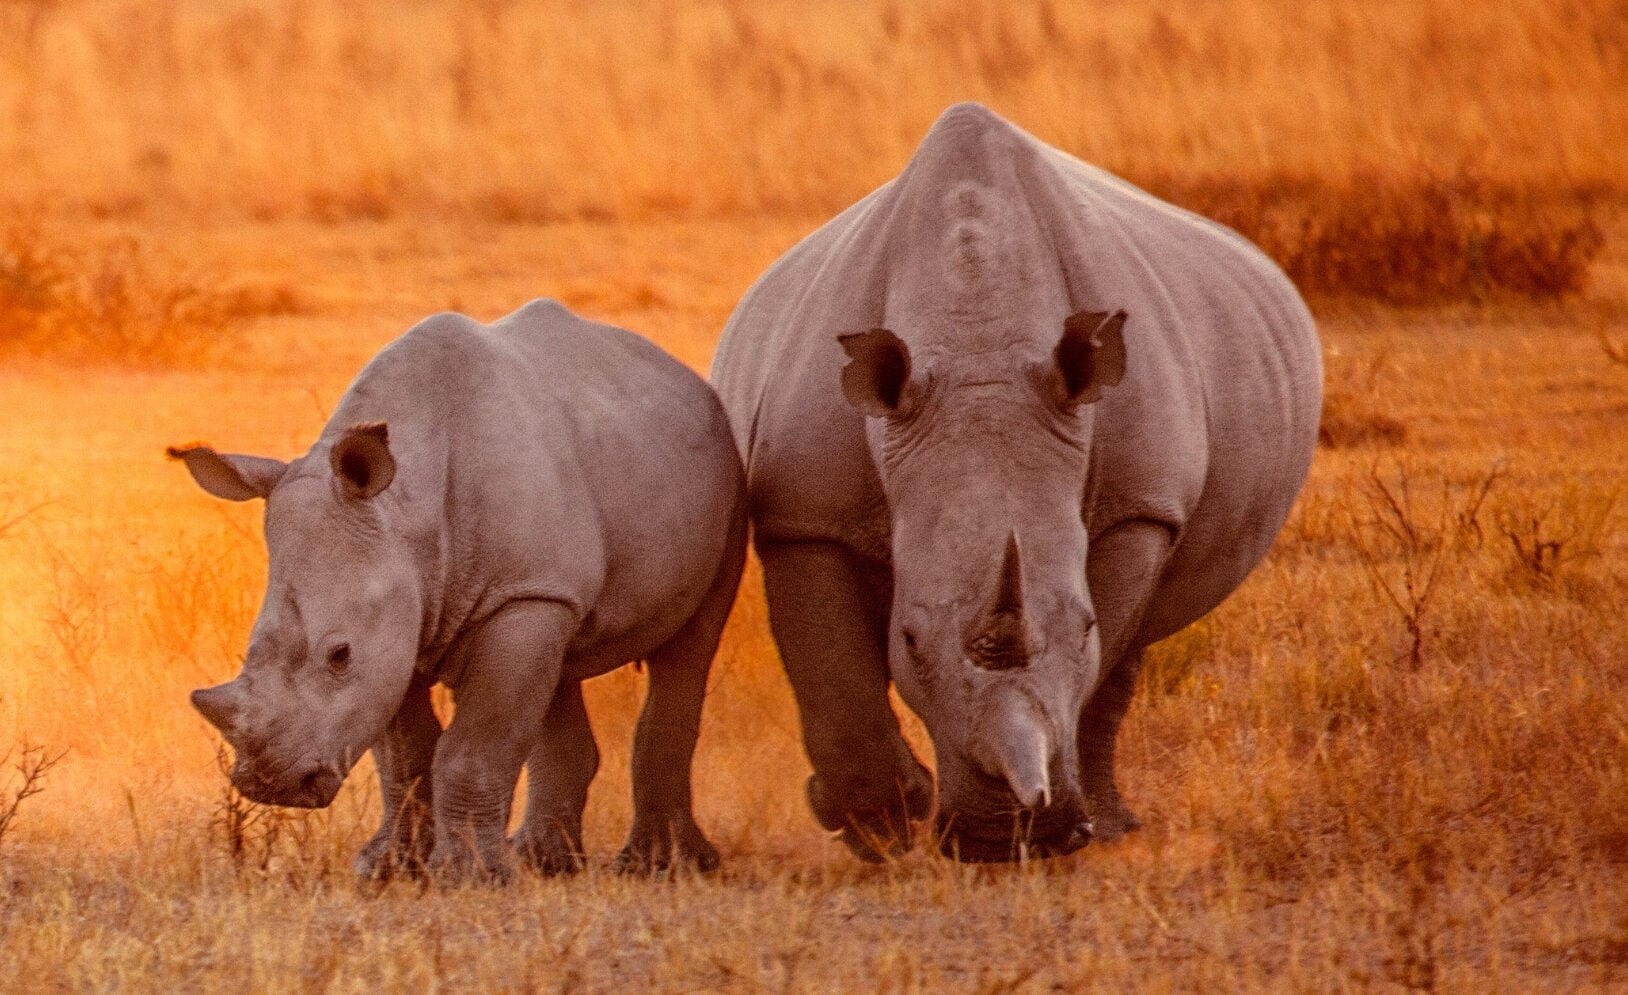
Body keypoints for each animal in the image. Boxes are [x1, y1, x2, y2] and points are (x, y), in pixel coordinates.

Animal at [172, 299, 747, 879]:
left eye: (339, 655)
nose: (271, 785)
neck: (404, 514)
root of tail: (684, 375)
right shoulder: (410, 613)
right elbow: (404, 756)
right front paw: (388, 869)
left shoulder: (517, 594)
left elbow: (474, 746)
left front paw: (469, 878)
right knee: (557, 662)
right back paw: (544, 862)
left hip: (723, 478)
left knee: (689, 648)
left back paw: (660, 866)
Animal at [710, 103, 1322, 862]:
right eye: (910, 639)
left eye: (1084, 627)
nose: (1004, 839)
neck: (978, 349)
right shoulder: (805, 512)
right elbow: (830, 668)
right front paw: (879, 826)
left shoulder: (1139, 503)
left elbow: (1100, 653)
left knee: (1134, 645)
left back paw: (1111, 827)